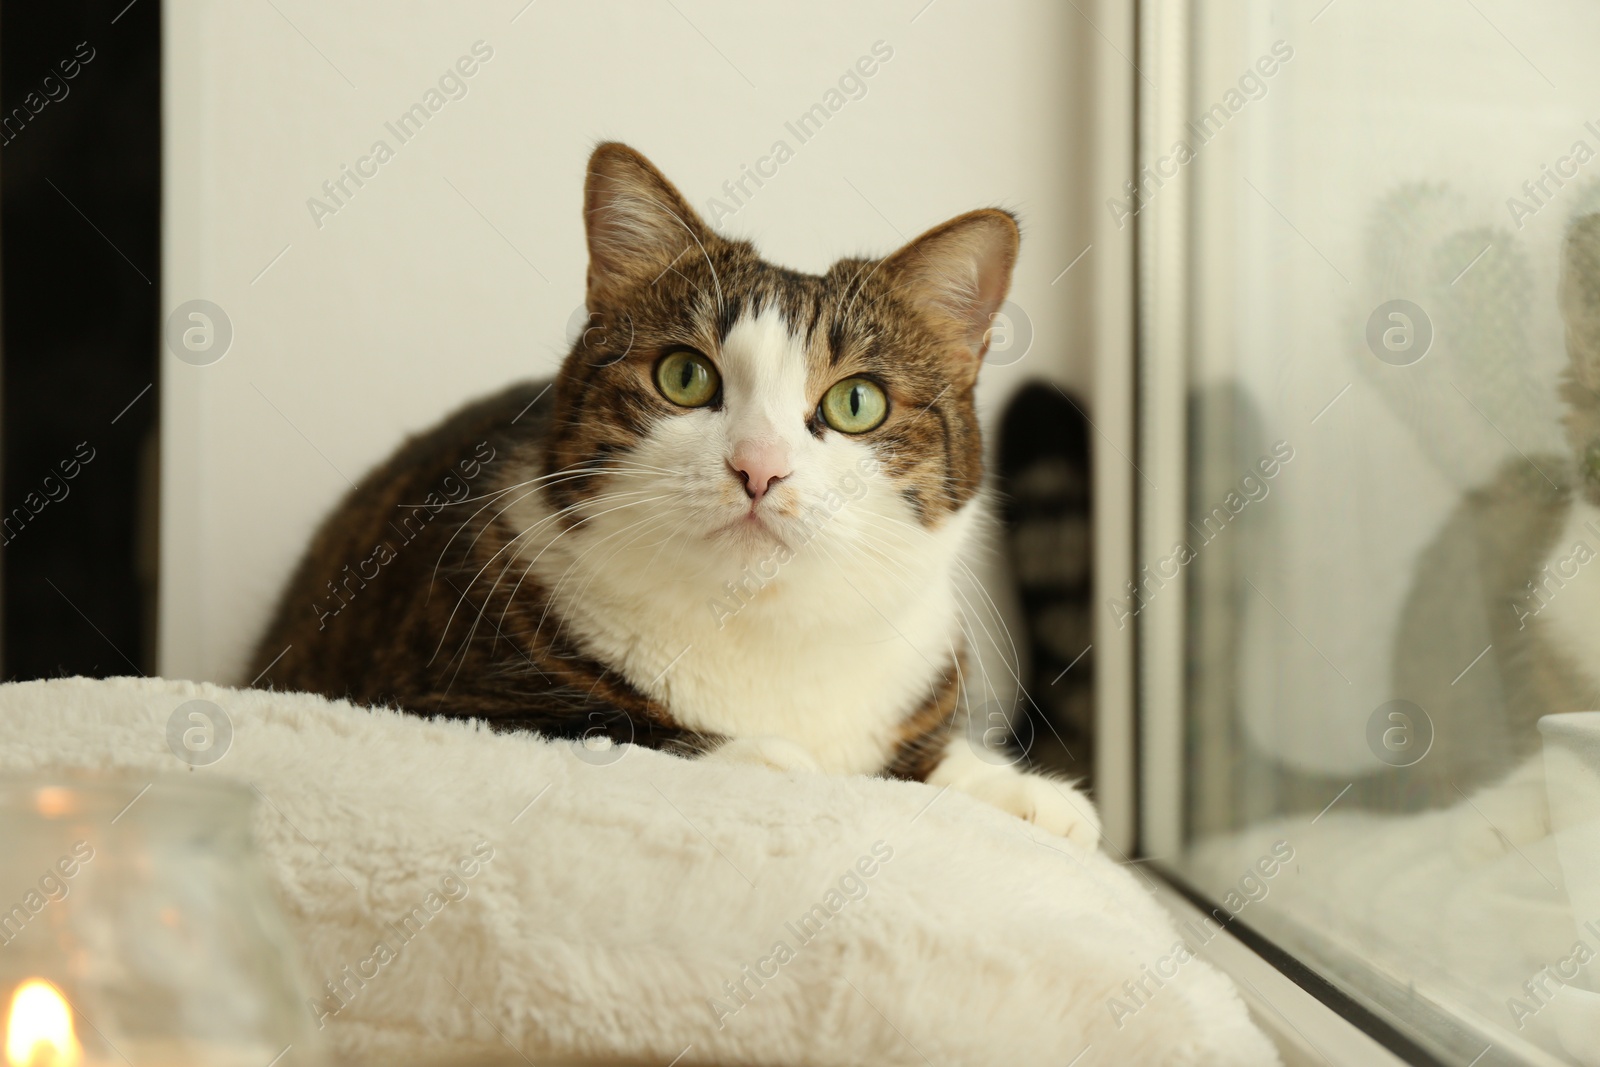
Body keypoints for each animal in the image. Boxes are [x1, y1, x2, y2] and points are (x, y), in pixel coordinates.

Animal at [249, 141, 1100, 851]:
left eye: (857, 402)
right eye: (685, 377)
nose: (760, 467)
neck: (762, 635)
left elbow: (926, 757)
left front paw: (1023, 791)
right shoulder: (433, 696)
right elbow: (611, 727)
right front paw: (770, 759)